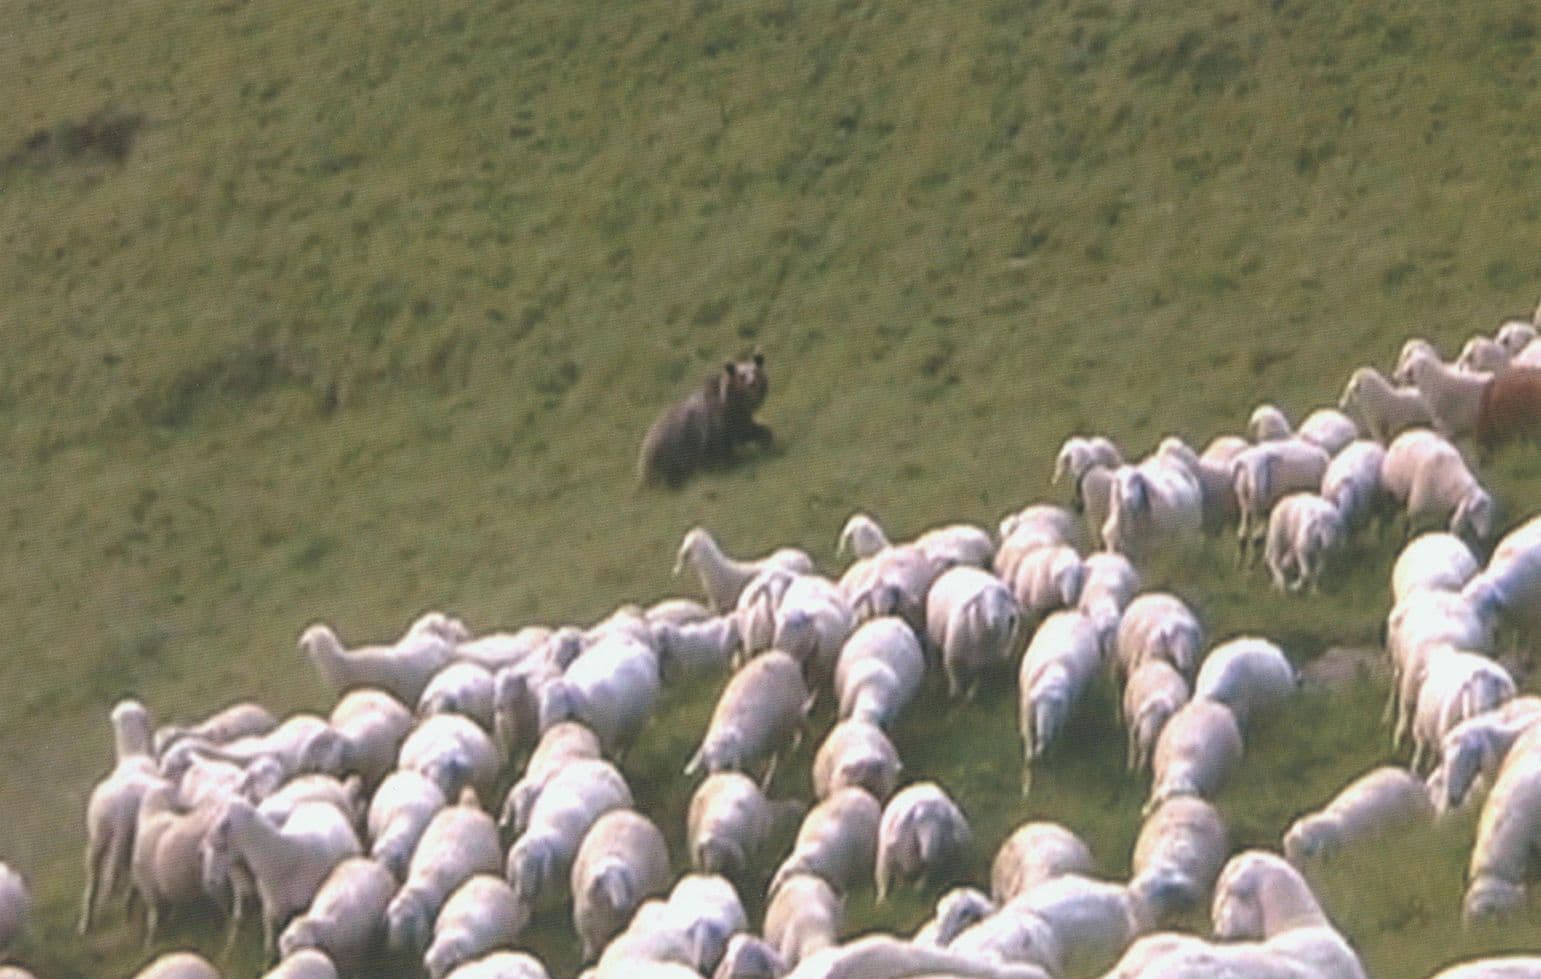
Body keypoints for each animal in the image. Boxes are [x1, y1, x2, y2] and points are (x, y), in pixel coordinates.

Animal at [637, 352, 773, 488]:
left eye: (755, 371)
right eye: (742, 376)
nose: (752, 383)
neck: (732, 402)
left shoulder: (738, 419)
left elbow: (749, 431)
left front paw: (767, 442)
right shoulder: (715, 425)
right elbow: (721, 448)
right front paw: (731, 463)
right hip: (668, 456)